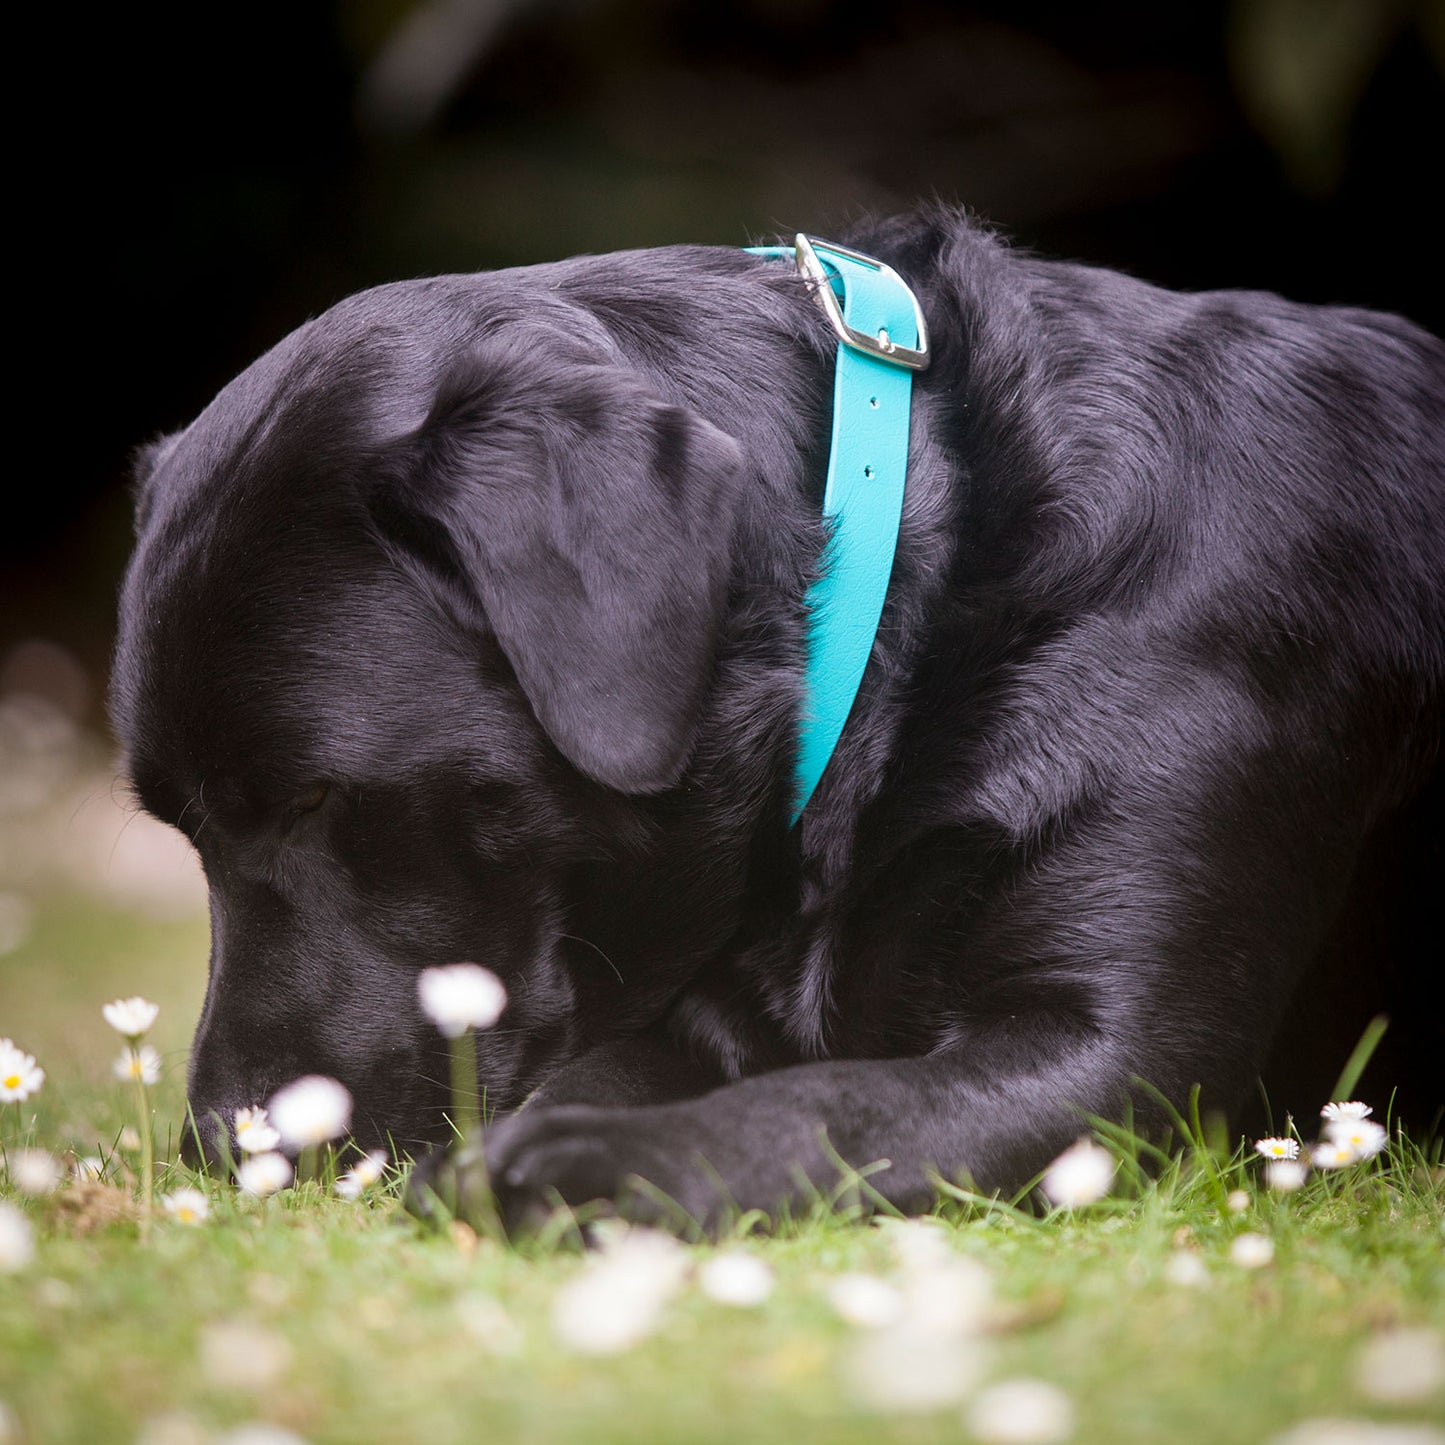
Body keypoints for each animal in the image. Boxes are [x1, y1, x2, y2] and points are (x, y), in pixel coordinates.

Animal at [115, 209, 1445, 1225]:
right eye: (180, 830)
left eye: (315, 797)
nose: (218, 1145)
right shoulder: (704, 1014)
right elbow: (608, 1069)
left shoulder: (1113, 1054)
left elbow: (831, 1102)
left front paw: (589, 1169)